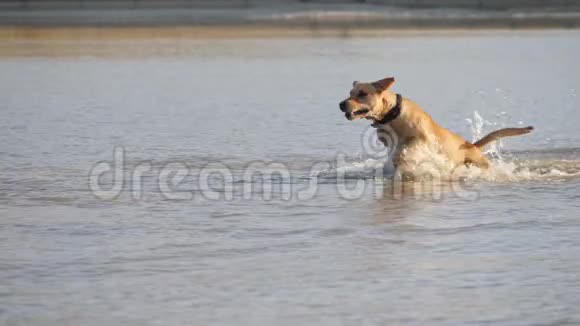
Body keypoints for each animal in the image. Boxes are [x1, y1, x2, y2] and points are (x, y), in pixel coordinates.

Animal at [340, 77, 536, 172]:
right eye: (350, 93)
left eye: (362, 93)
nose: (341, 104)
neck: (392, 115)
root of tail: (472, 146)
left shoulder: (423, 139)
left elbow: (406, 148)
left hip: (478, 163)